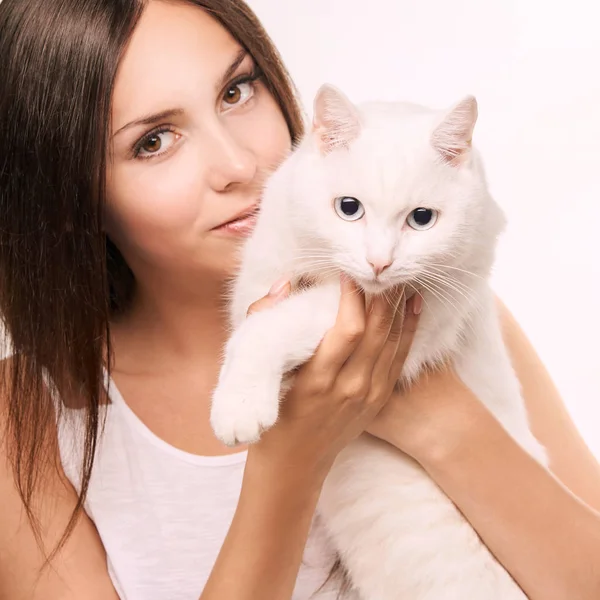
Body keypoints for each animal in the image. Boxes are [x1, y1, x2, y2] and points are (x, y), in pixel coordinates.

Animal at [211, 84, 548, 600]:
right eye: (348, 208)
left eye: (422, 219)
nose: (379, 263)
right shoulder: (263, 278)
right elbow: (257, 321)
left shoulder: (415, 317)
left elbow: (272, 327)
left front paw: (239, 405)